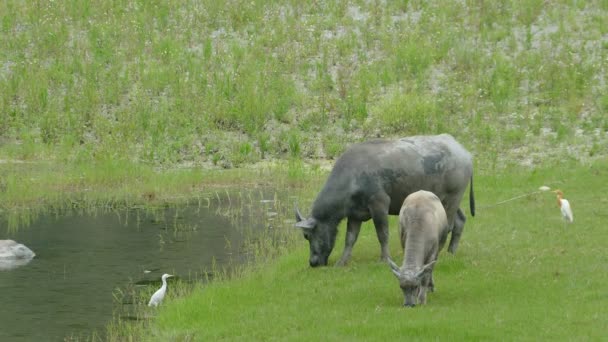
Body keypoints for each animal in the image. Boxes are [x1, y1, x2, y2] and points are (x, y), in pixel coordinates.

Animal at [294, 134, 476, 268]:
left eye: (306, 235)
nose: (313, 263)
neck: (352, 177)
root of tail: (465, 153)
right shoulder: (354, 214)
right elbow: (350, 239)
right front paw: (341, 262)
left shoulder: (379, 204)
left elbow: (383, 234)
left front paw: (384, 258)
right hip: (446, 200)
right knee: (460, 220)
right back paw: (451, 252)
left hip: (453, 198)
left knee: (449, 226)